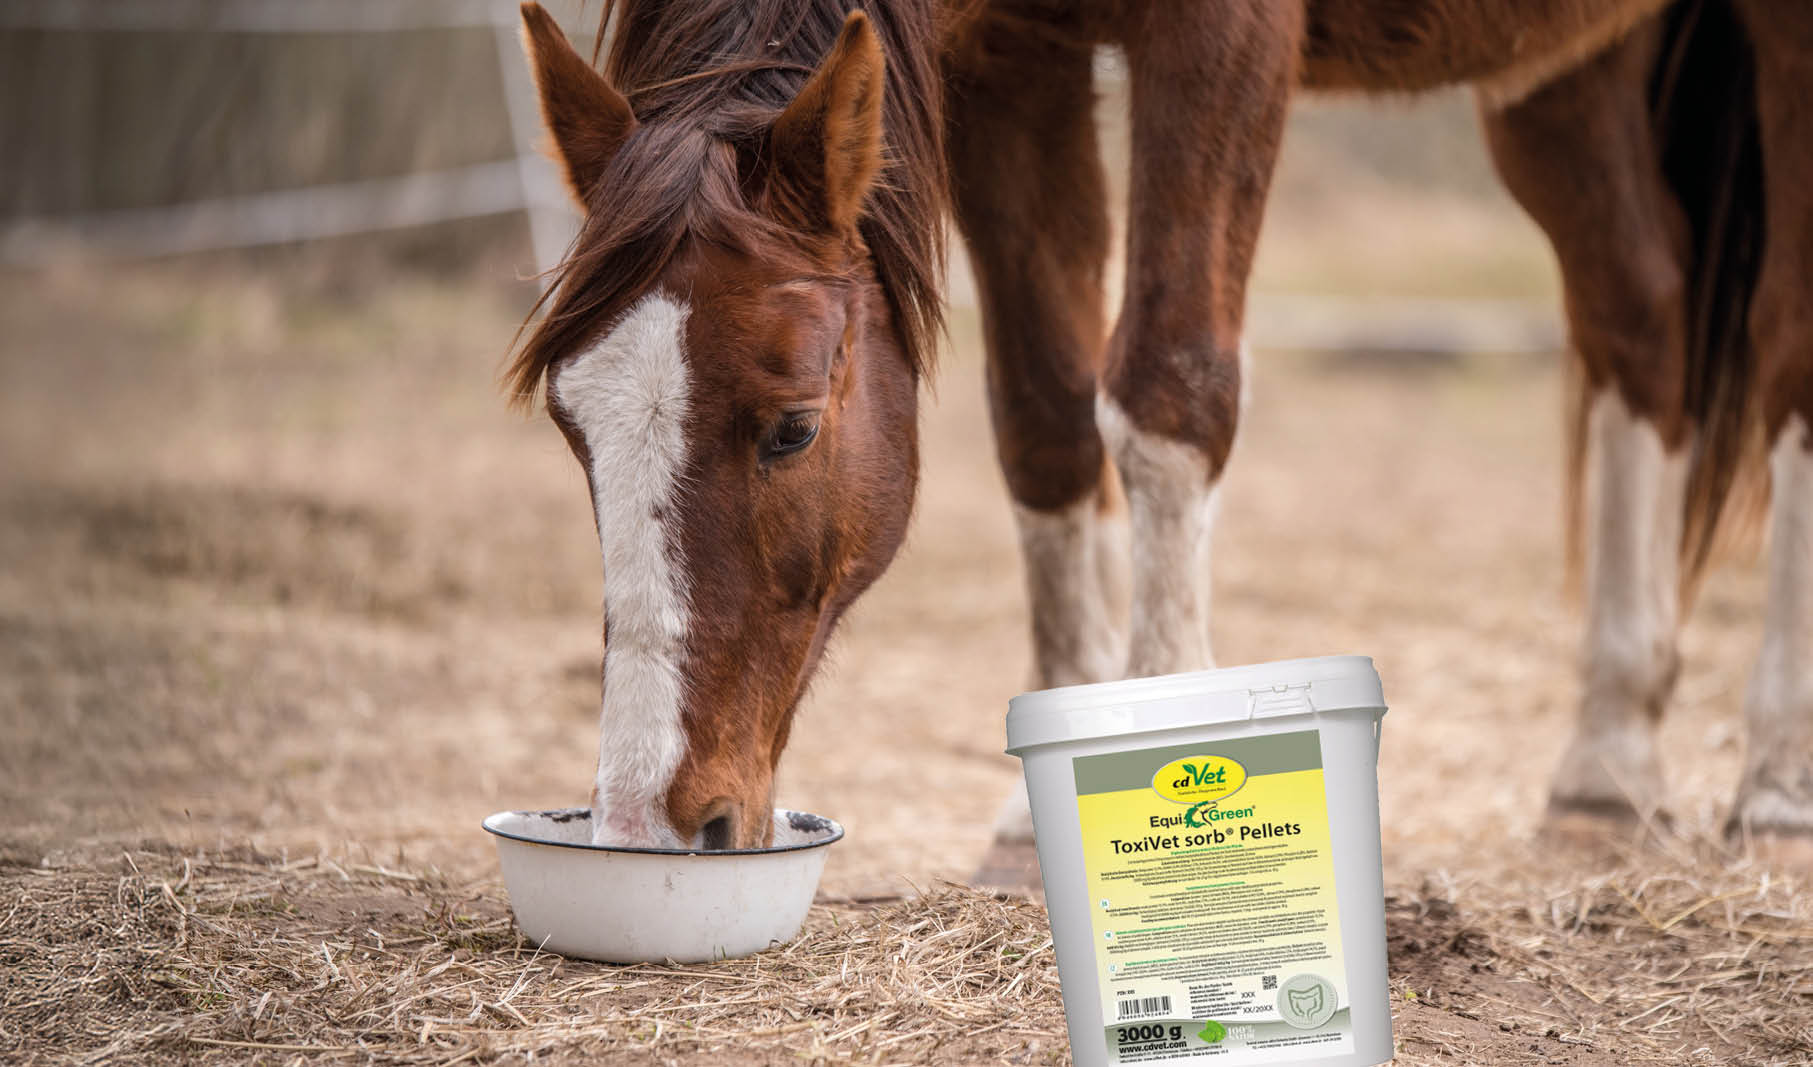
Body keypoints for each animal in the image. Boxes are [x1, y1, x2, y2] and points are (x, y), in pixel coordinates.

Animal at [509, 0, 1813, 875]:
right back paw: (1607, 761)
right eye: (572, 427)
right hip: (1558, 75)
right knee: (1636, 312)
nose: (649, 823)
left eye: (791, 430)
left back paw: (1776, 777)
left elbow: (1167, 388)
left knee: (1781, 342)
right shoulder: (1006, 64)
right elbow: (1044, 410)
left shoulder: (1220, 37)